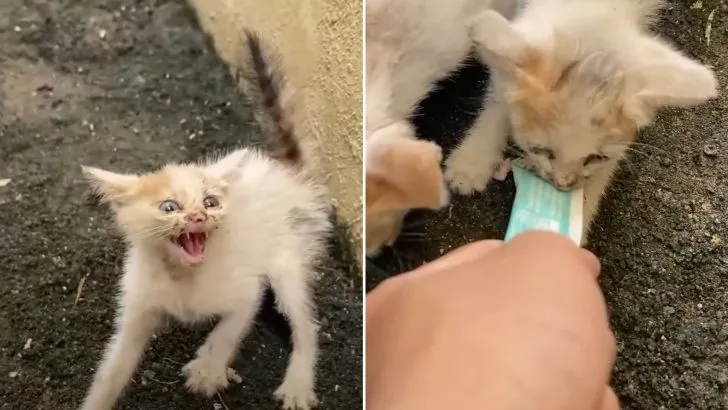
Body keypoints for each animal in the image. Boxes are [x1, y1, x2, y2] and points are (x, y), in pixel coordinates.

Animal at [79, 32, 330, 410]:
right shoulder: (137, 306)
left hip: (289, 259)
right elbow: (112, 371)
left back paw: (298, 384)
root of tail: (290, 174)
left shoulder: (245, 290)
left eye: (211, 202)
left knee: (305, 323)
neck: (183, 276)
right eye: (169, 207)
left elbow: (230, 328)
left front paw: (208, 368)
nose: (198, 215)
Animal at [446, 0, 720, 240]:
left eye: (597, 157)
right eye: (542, 150)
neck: (595, 9)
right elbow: (501, 88)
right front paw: (471, 160)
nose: (563, 184)